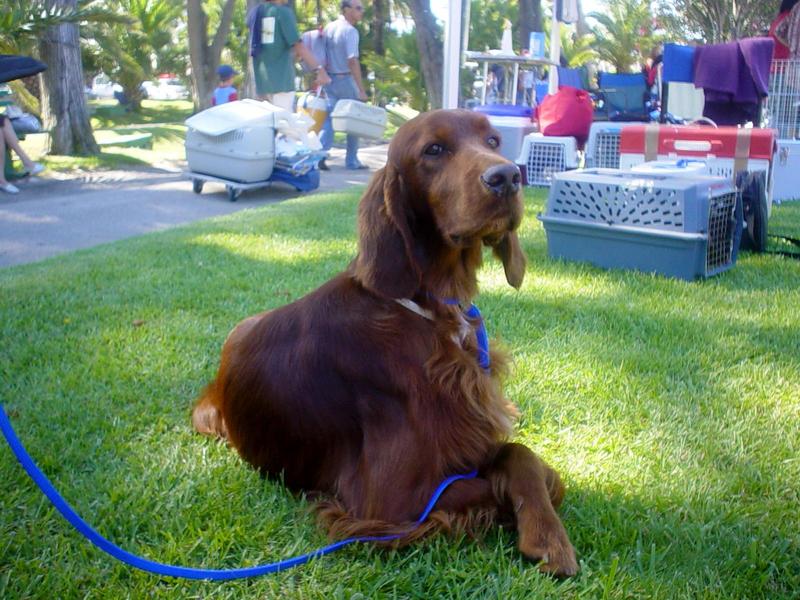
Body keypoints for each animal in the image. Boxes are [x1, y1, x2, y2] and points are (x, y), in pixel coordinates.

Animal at [194, 109, 580, 576]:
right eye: (433, 149)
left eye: (493, 141)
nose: (506, 177)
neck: (429, 307)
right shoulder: (391, 505)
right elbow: (500, 479)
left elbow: (519, 454)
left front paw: (548, 536)